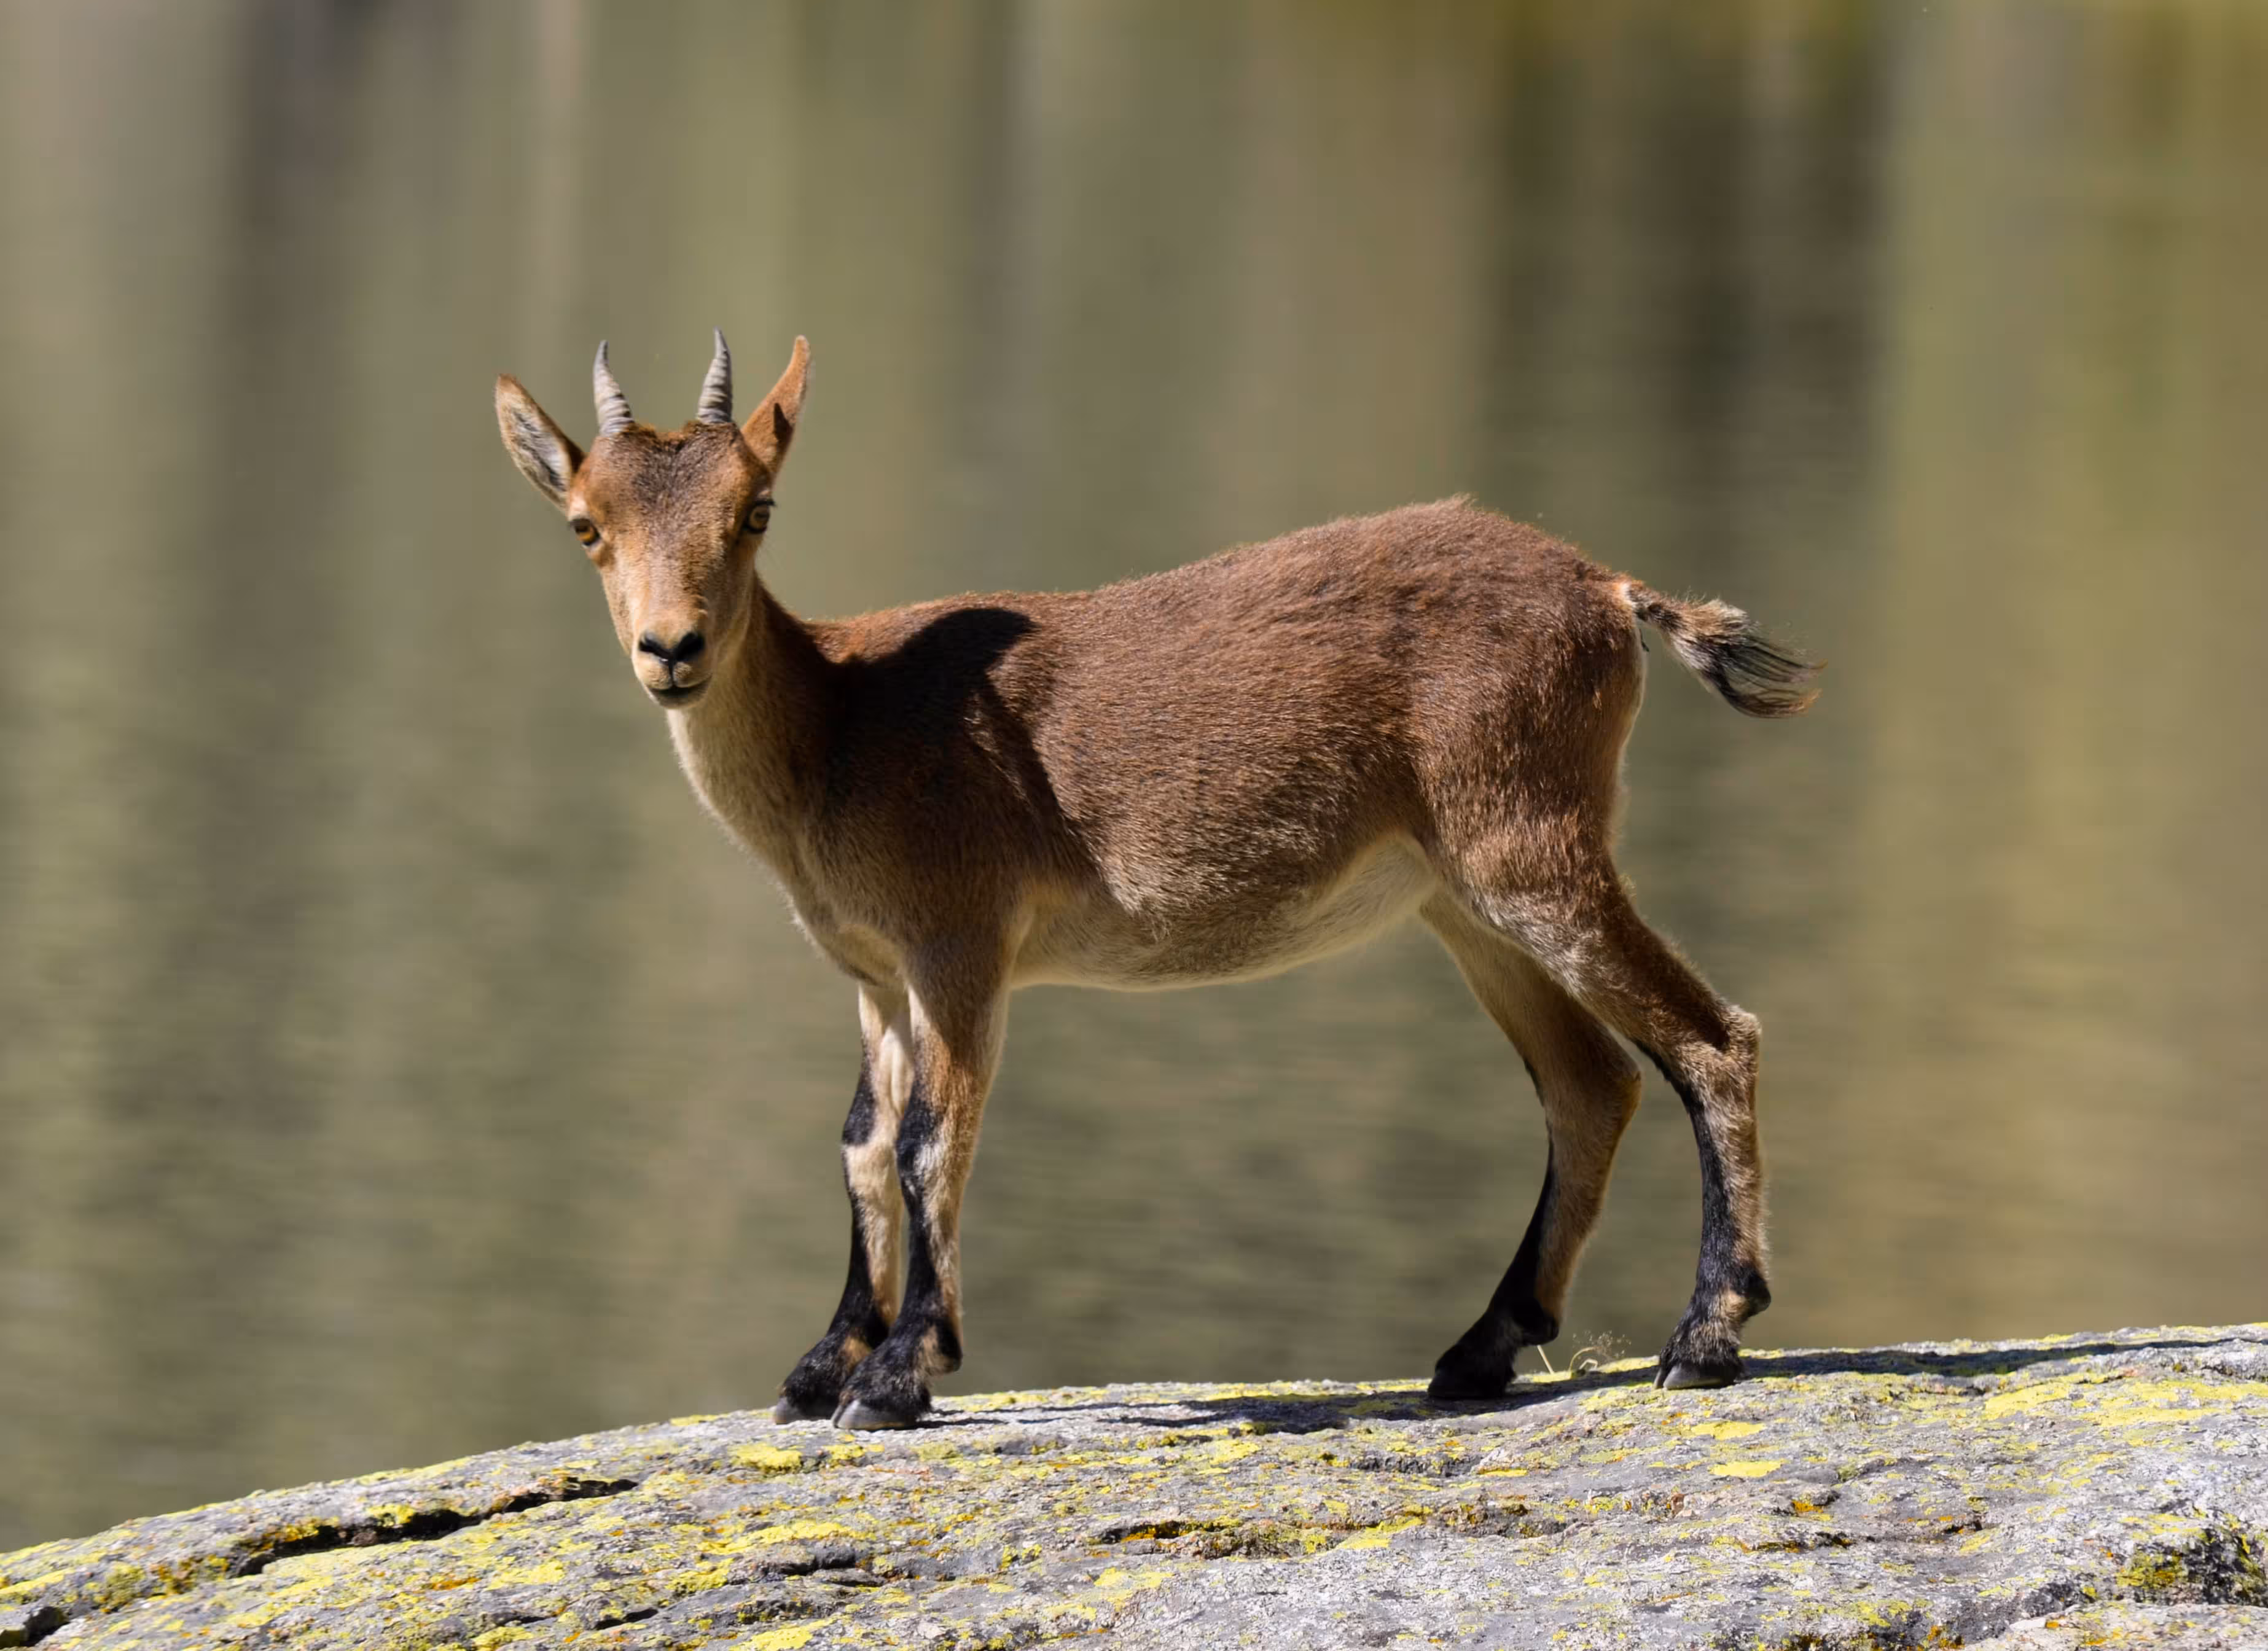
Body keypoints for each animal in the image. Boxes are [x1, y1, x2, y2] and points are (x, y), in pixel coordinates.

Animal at [494, 332, 1819, 1430]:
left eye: (756, 508)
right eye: (585, 522)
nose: (672, 649)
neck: (841, 727)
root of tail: (1606, 590)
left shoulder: (960, 941)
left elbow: (932, 1139)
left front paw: (900, 1375)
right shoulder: (872, 972)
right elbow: (863, 1143)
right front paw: (819, 1367)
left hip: (1529, 844)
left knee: (1711, 1038)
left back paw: (1703, 1338)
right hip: (1462, 899)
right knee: (1590, 1081)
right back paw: (1479, 1349)